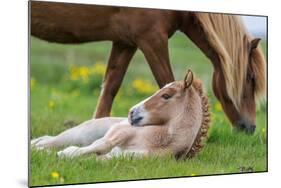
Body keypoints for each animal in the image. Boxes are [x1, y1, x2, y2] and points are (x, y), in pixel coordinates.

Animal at [30, 1, 264, 134]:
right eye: (250, 77)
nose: (250, 128)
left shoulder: (125, 43)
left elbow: (110, 87)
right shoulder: (152, 40)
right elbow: (167, 82)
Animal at [31, 70, 210, 159]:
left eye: (166, 95)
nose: (132, 112)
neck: (160, 140)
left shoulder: (126, 157)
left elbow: (100, 157)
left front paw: (62, 155)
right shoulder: (117, 134)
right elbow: (101, 145)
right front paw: (64, 153)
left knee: (48, 140)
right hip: (79, 134)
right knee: (50, 141)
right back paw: (37, 148)